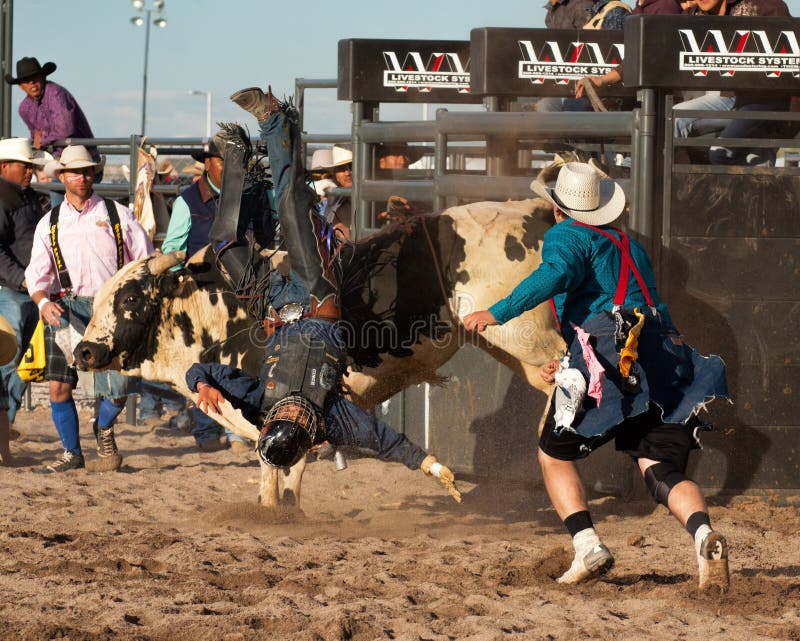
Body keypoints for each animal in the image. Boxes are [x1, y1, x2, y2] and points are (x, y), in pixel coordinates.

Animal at [73, 198, 564, 508]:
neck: (223, 311)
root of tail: (527, 209)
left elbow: (284, 482)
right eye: (96, 301)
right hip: (500, 339)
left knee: (563, 362)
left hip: (521, 330)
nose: (84, 352)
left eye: (130, 298)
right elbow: (274, 483)